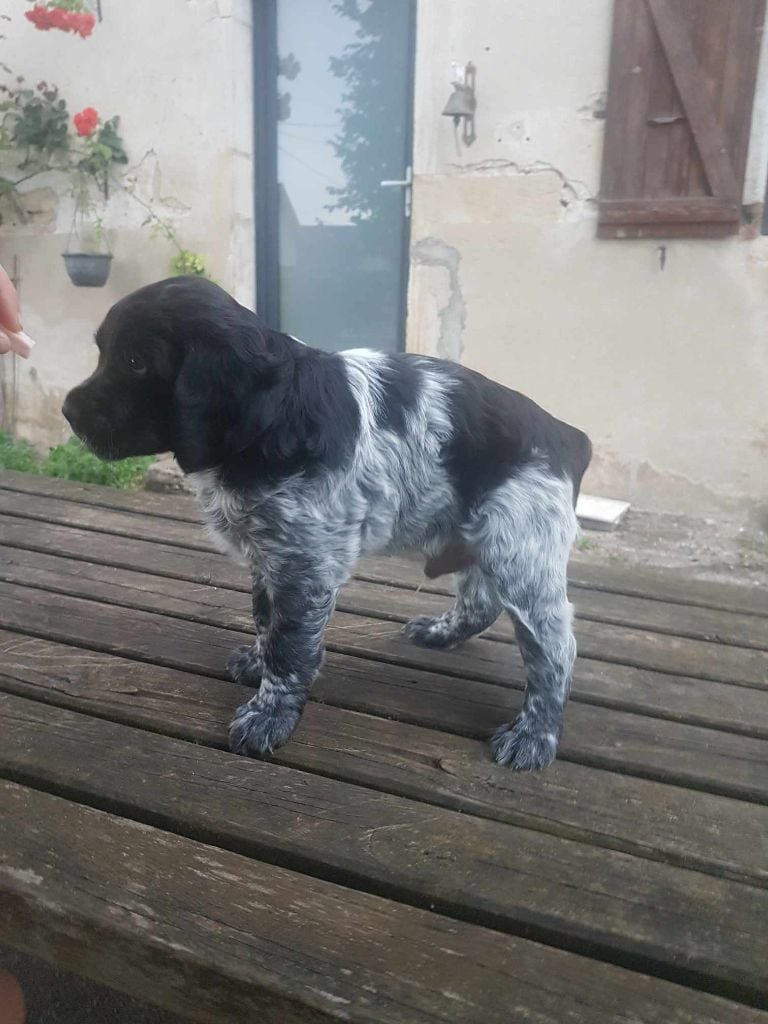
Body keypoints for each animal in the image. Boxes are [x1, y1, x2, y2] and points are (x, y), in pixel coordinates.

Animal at [64, 276, 593, 770]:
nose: (68, 410)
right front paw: (257, 665)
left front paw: (268, 716)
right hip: (479, 538)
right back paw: (440, 635)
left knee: (555, 652)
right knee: (481, 601)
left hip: (520, 553)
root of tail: (566, 434)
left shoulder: (304, 566)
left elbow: (288, 644)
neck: (271, 420)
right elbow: (266, 621)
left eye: (135, 362)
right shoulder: (271, 556)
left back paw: (534, 737)